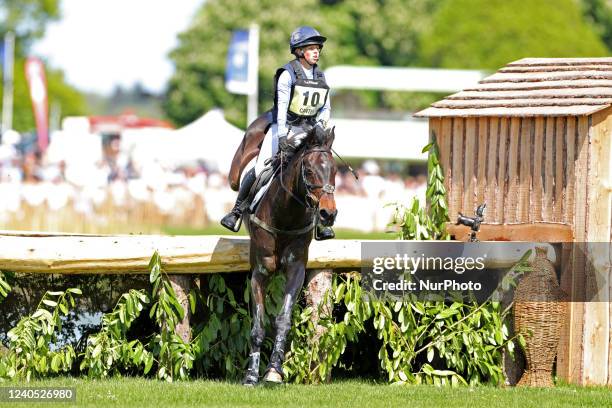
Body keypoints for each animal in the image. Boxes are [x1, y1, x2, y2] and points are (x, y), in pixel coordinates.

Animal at [241, 126, 338, 384]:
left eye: (335, 171)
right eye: (309, 170)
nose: (328, 214)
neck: (285, 216)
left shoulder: (296, 270)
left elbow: (283, 320)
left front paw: (274, 369)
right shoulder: (260, 273)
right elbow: (258, 326)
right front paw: (251, 375)